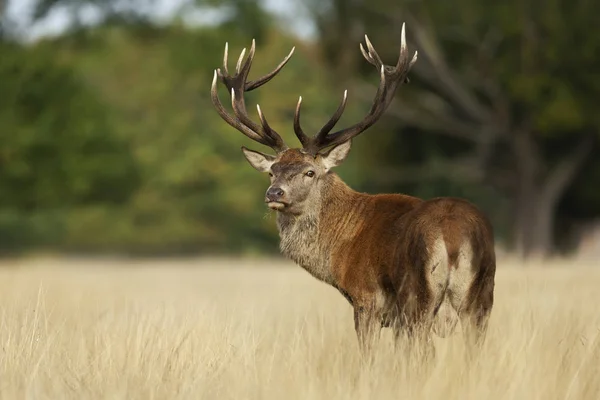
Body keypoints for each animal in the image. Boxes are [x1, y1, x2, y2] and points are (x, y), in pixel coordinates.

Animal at [211, 23, 496, 354]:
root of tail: (453, 237)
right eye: (272, 172)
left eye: (310, 172)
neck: (340, 248)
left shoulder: (366, 299)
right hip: (483, 296)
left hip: (419, 296)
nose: (274, 194)